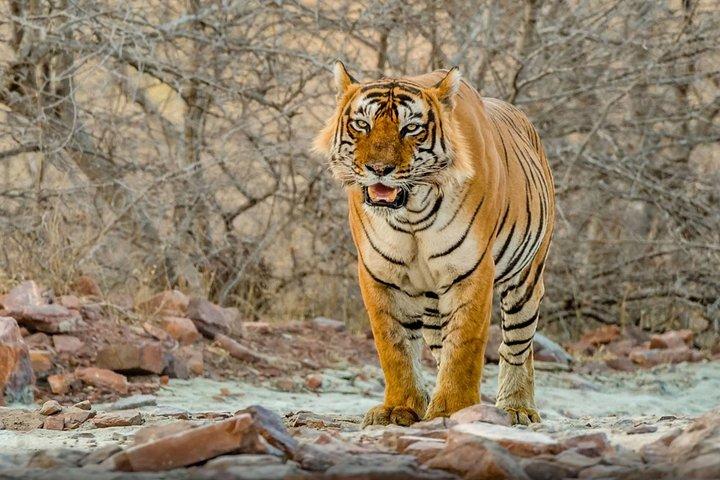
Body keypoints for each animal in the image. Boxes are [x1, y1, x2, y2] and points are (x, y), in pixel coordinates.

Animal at [314, 61, 555, 427]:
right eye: (362, 125)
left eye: (411, 128)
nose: (379, 169)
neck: (412, 213)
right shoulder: (379, 274)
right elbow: (395, 346)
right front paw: (400, 408)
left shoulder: (471, 270)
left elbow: (465, 346)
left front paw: (453, 409)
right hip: (430, 302)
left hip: (525, 279)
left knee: (517, 346)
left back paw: (517, 407)